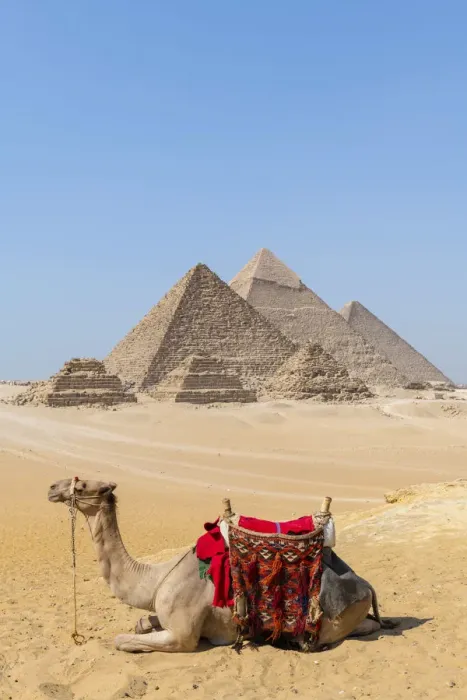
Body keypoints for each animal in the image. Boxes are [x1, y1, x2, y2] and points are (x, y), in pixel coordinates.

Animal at [48, 478, 393, 653]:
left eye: (82, 485)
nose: (52, 487)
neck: (155, 578)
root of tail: (367, 584)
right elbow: (141, 624)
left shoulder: (182, 635)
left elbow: (122, 640)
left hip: (335, 617)